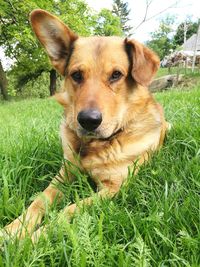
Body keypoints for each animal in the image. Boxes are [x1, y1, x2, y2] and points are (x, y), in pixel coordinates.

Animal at [1, 9, 170, 242]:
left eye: (116, 74)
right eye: (76, 75)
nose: (89, 120)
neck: (95, 146)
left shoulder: (113, 189)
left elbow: (67, 211)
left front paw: (34, 238)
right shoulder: (63, 175)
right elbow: (38, 201)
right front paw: (12, 231)